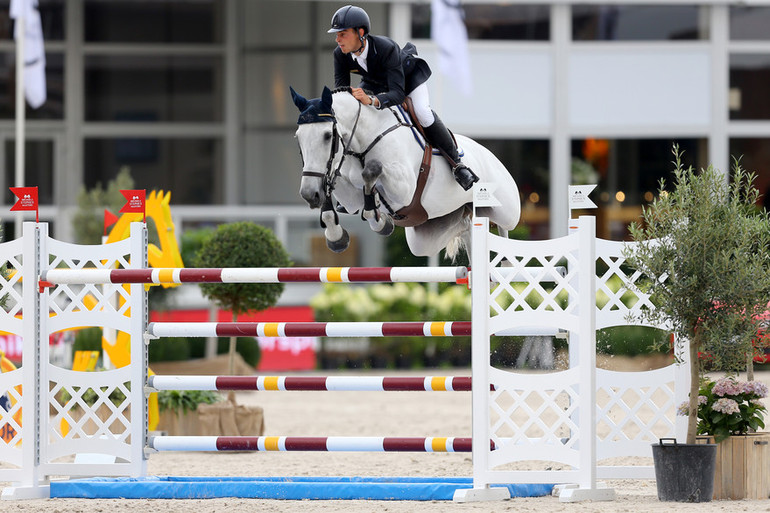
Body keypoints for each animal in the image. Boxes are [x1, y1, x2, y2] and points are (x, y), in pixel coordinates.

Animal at [292, 86, 520, 260]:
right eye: (298, 137)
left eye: (327, 135)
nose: (309, 195)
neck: (362, 143)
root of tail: (490, 154)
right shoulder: (350, 199)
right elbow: (338, 207)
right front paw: (337, 237)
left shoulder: (404, 190)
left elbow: (371, 173)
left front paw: (381, 222)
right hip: (426, 239)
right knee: (464, 228)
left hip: (506, 211)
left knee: (504, 228)